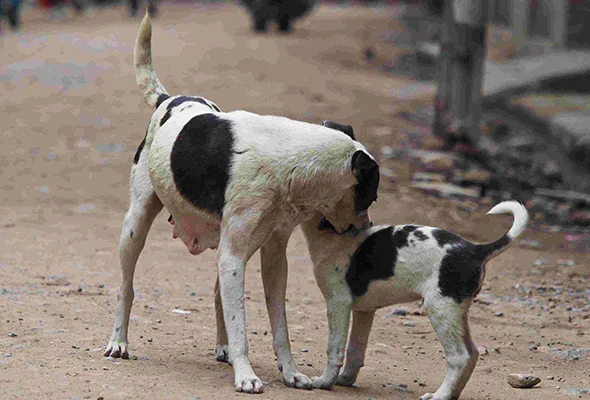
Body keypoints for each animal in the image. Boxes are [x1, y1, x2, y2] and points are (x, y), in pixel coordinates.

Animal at [104, 12, 379, 394]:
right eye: (370, 195)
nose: (367, 227)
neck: (289, 162)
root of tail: (169, 98)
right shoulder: (234, 255)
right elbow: (241, 326)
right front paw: (246, 374)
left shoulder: (272, 258)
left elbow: (279, 327)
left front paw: (290, 372)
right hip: (136, 227)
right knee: (126, 287)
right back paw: (119, 341)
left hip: (228, 249)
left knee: (219, 293)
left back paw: (222, 348)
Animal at [295, 201, 528, 399]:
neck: (333, 236)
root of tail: (476, 249)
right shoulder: (364, 310)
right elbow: (355, 350)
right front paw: (345, 379)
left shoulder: (338, 303)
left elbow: (334, 349)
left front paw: (325, 382)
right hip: (456, 312)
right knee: (473, 353)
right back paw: (452, 394)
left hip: (440, 309)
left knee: (460, 357)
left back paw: (440, 396)